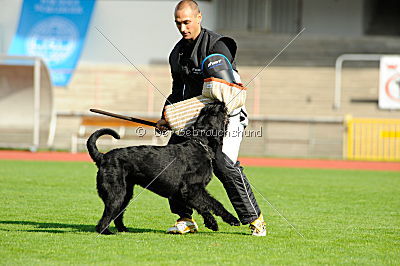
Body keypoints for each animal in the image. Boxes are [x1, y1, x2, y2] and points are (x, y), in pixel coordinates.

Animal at [86, 102, 239, 235]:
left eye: (204, 111)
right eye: (214, 112)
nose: (219, 103)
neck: (201, 144)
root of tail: (103, 157)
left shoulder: (192, 192)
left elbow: (210, 205)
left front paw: (220, 221)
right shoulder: (192, 189)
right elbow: (209, 204)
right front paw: (218, 222)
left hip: (126, 194)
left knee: (118, 213)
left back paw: (123, 229)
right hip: (116, 193)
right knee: (108, 215)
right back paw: (105, 231)